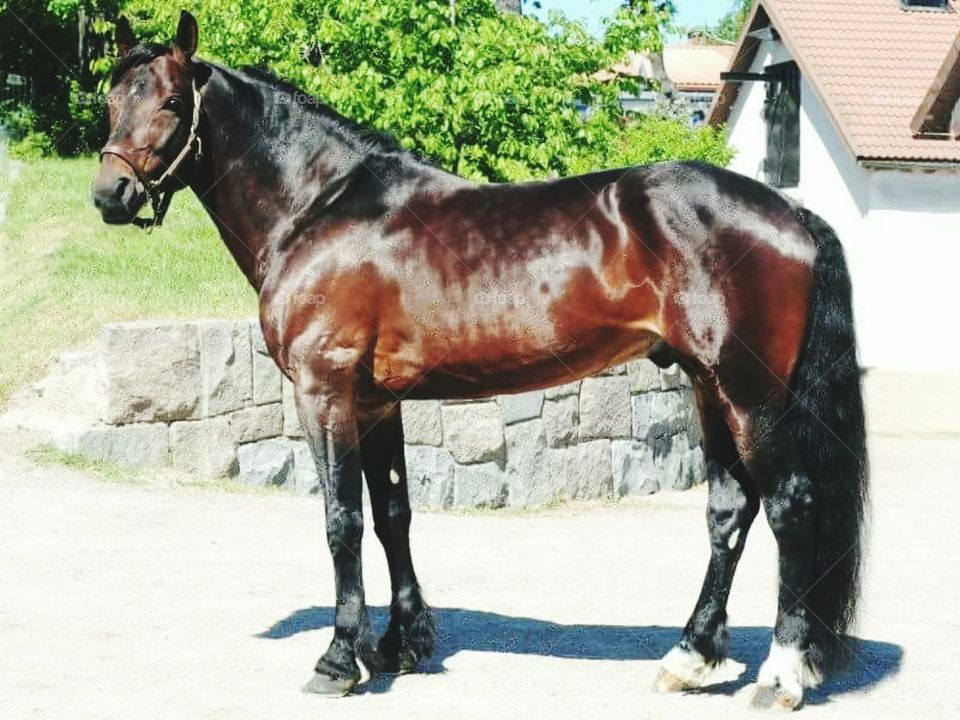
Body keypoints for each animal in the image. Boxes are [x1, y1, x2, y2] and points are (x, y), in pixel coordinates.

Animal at [91, 11, 868, 711]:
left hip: (750, 394)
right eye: (110, 98)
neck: (323, 210)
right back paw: (690, 658)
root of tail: (791, 213)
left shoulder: (325, 391)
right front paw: (401, 642)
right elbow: (393, 513)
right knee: (730, 511)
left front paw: (339, 659)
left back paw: (782, 675)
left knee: (790, 506)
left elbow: (342, 520)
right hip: (711, 389)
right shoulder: (376, 401)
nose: (108, 195)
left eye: (170, 102)